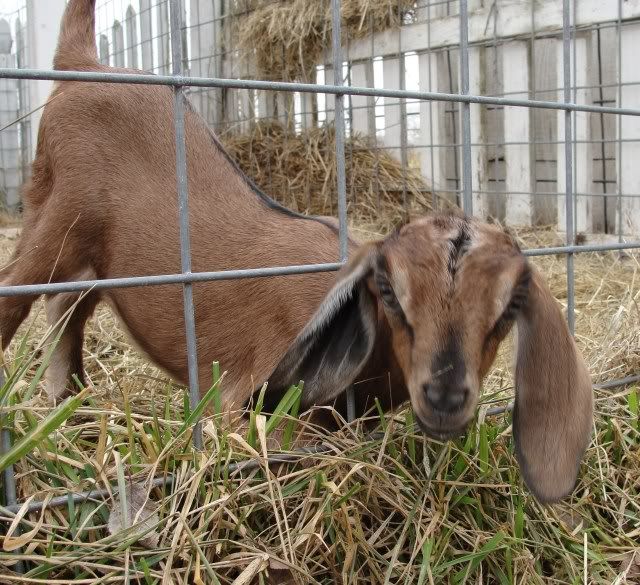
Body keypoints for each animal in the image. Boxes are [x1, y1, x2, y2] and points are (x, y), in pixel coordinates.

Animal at [0, 0, 592, 503]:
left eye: (506, 312)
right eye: (390, 295)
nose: (445, 396)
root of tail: (81, 64)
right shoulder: (245, 397)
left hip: (92, 257)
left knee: (66, 308)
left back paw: (71, 407)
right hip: (57, 211)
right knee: (19, 291)